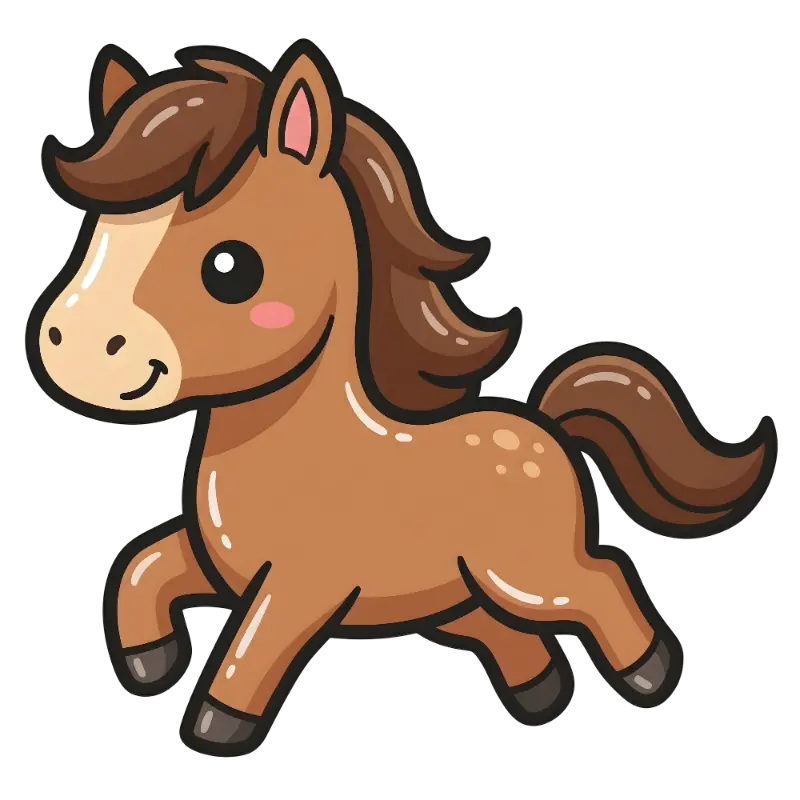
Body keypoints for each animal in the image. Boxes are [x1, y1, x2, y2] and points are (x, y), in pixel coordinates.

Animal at [30, 42, 775, 755]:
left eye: (231, 266)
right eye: (102, 232)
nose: (78, 345)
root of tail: (550, 429)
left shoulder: (301, 586)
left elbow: (252, 647)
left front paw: (219, 723)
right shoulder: (220, 564)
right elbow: (143, 568)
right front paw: (149, 659)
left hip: (526, 576)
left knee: (601, 582)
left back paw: (647, 671)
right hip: (463, 597)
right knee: (512, 635)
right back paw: (538, 696)